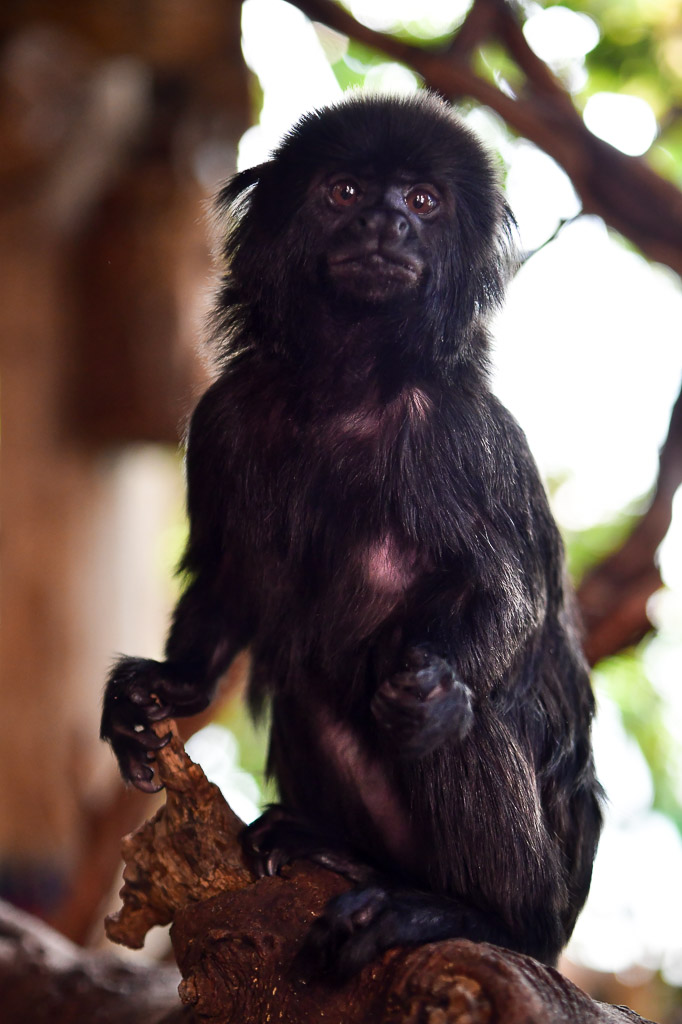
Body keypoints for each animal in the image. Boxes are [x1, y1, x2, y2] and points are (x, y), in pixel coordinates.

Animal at [101, 91, 603, 977]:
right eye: (344, 193)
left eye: (423, 202)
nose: (385, 223)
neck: (345, 391)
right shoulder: (226, 414)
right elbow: (231, 577)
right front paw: (163, 687)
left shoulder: (458, 432)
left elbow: (508, 602)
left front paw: (436, 689)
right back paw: (339, 850)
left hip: (551, 897)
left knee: (461, 728)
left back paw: (468, 912)